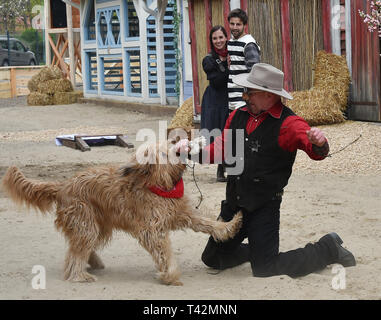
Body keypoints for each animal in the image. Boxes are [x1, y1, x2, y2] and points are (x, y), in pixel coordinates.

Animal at [1, 141, 240, 286]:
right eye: (164, 153)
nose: (182, 148)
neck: (158, 185)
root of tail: (62, 186)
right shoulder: (152, 230)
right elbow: (164, 252)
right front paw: (170, 275)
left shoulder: (182, 212)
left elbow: (206, 222)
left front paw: (230, 225)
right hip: (86, 223)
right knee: (75, 253)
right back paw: (79, 275)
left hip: (99, 225)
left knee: (82, 247)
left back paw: (93, 262)